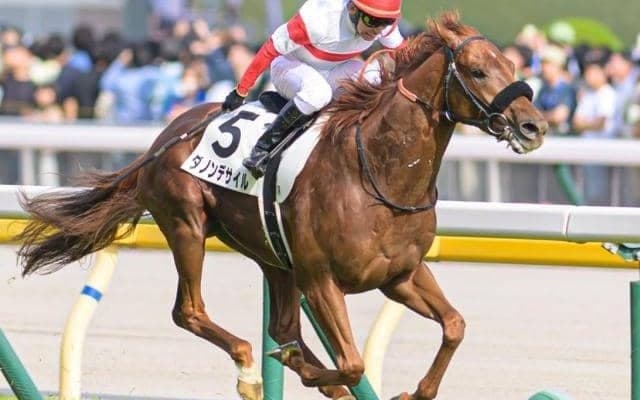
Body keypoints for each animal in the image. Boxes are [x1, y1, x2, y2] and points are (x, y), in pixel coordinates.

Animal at [16, 12, 547, 400]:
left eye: (513, 68)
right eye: (477, 71)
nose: (534, 127)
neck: (378, 172)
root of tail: (169, 134)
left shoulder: (401, 274)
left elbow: (454, 326)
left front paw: (412, 392)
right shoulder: (321, 278)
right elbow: (351, 362)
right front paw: (309, 370)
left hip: (272, 256)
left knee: (283, 325)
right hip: (187, 224)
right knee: (190, 311)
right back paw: (252, 367)